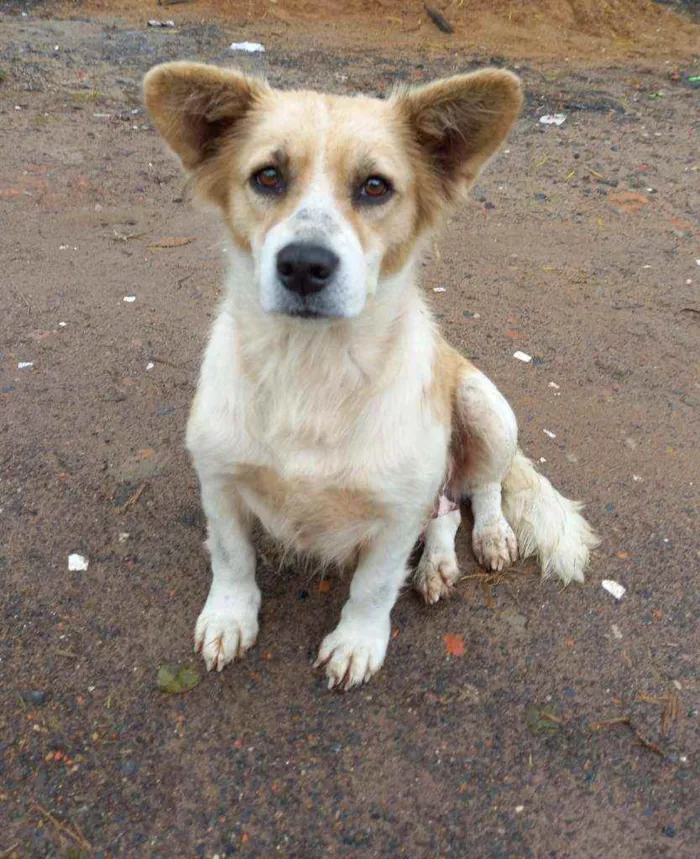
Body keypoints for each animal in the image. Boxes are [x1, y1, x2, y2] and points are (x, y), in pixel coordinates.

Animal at [145, 60, 600, 692]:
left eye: (375, 186)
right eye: (267, 176)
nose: (303, 265)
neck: (312, 370)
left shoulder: (396, 513)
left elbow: (374, 586)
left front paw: (357, 643)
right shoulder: (219, 480)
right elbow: (232, 558)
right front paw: (230, 618)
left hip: (486, 410)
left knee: (477, 490)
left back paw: (489, 536)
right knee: (445, 510)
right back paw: (437, 564)